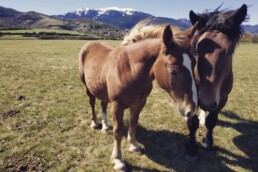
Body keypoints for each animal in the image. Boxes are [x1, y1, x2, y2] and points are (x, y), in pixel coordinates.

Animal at [79, 24, 199, 170]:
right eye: (173, 71)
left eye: (194, 64)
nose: (191, 110)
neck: (130, 70)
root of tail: (89, 44)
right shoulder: (117, 105)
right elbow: (118, 131)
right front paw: (118, 160)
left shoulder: (139, 103)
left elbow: (133, 123)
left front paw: (133, 146)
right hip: (87, 87)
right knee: (91, 102)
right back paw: (94, 123)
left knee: (103, 104)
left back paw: (105, 126)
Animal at [188, 3, 249, 155]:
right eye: (196, 50)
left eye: (230, 51)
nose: (207, 101)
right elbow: (192, 123)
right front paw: (191, 147)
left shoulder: (222, 98)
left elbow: (211, 121)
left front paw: (207, 142)